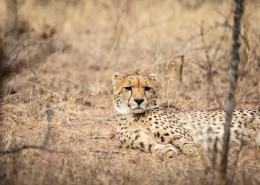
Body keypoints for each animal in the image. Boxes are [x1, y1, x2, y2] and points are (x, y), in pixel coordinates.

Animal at [111, 72, 260, 158]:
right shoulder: (143, 141)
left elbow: (186, 143)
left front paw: (194, 152)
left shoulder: (182, 136)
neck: (134, 116)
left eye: (147, 88)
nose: (139, 100)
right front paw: (167, 151)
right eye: (128, 88)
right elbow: (154, 147)